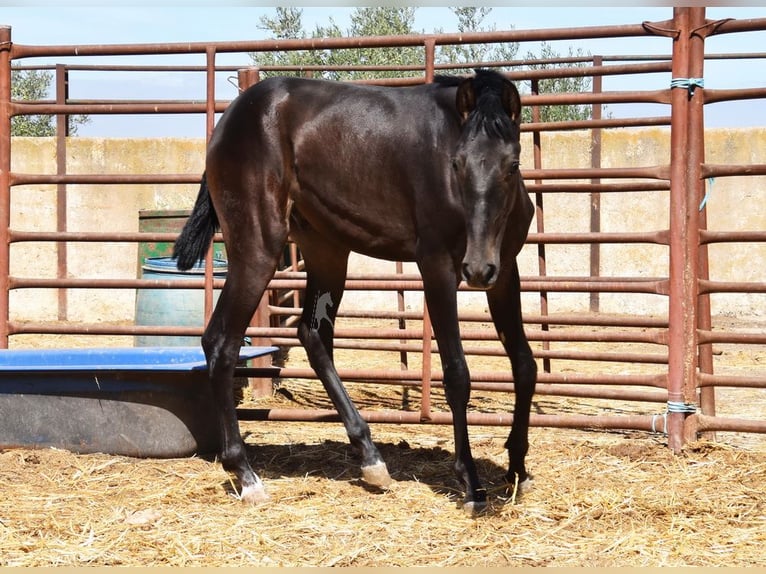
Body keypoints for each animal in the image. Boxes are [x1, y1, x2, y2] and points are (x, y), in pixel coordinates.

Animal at [174, 70, 536, 516]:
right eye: (456, 163)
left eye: (512, 165)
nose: (478, 268)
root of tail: (229, 120)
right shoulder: (437, 268)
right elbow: (457, 375)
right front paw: (471, 484)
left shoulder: (506, 273)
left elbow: (524, 364)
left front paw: (517, 466)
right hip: (258, 249)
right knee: (221, 341)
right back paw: (246, 475)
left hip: (326, 250)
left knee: (313, 335)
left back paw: (372, 461)